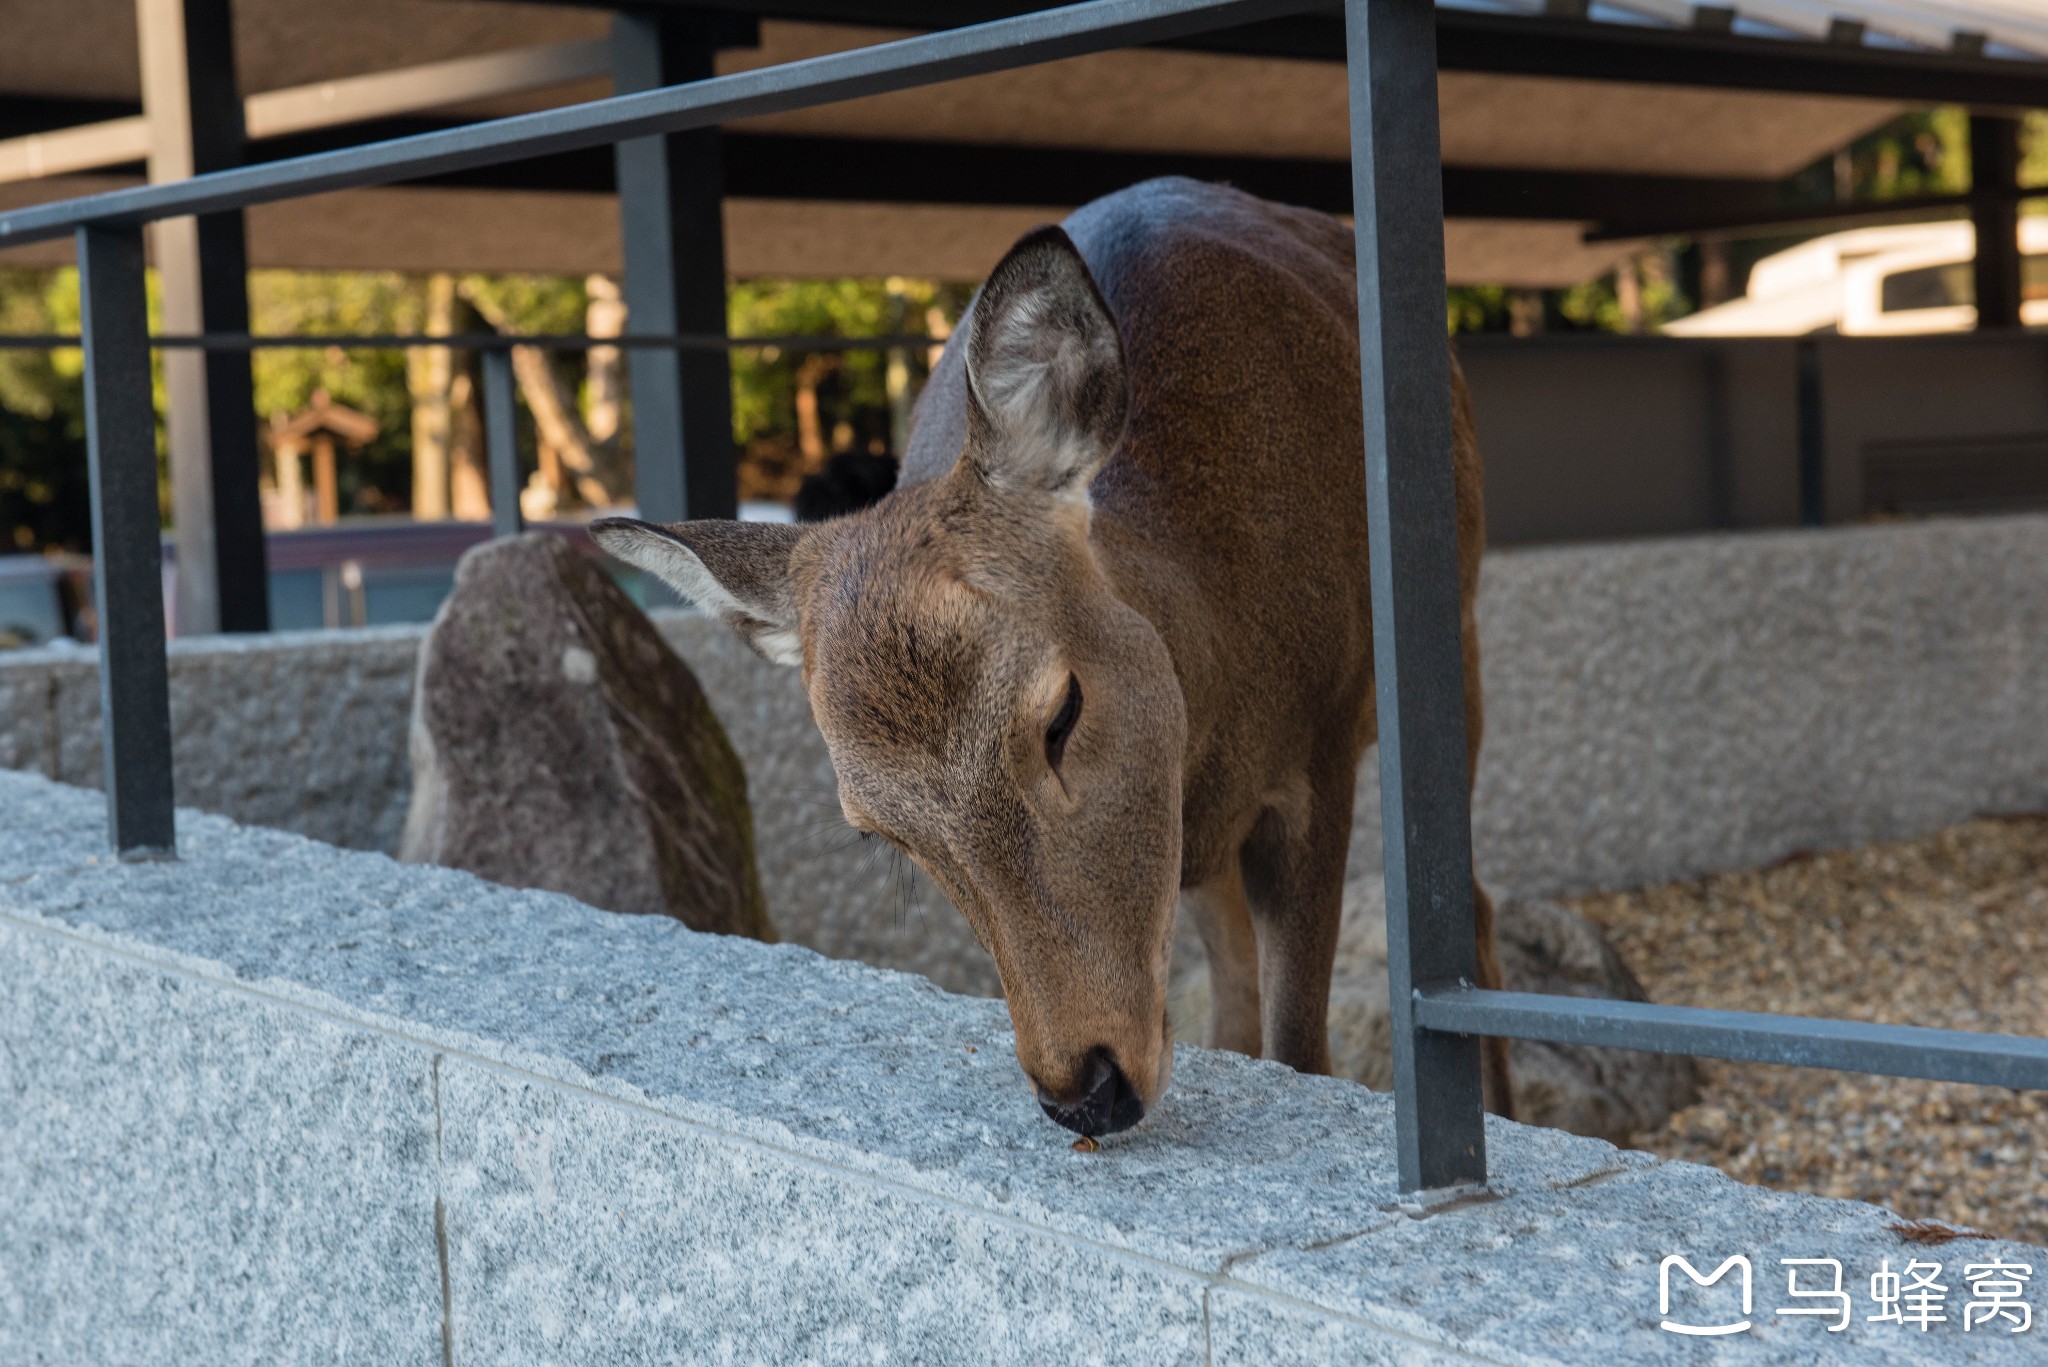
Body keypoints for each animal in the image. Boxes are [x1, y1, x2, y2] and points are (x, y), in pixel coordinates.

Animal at [585, 181, 1515, 1147]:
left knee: (1477, 903)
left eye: (1061, 711)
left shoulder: (1321, 747)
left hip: (1460, 631)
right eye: (879, 829)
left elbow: (1303, 1048)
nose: (1085, 1088)